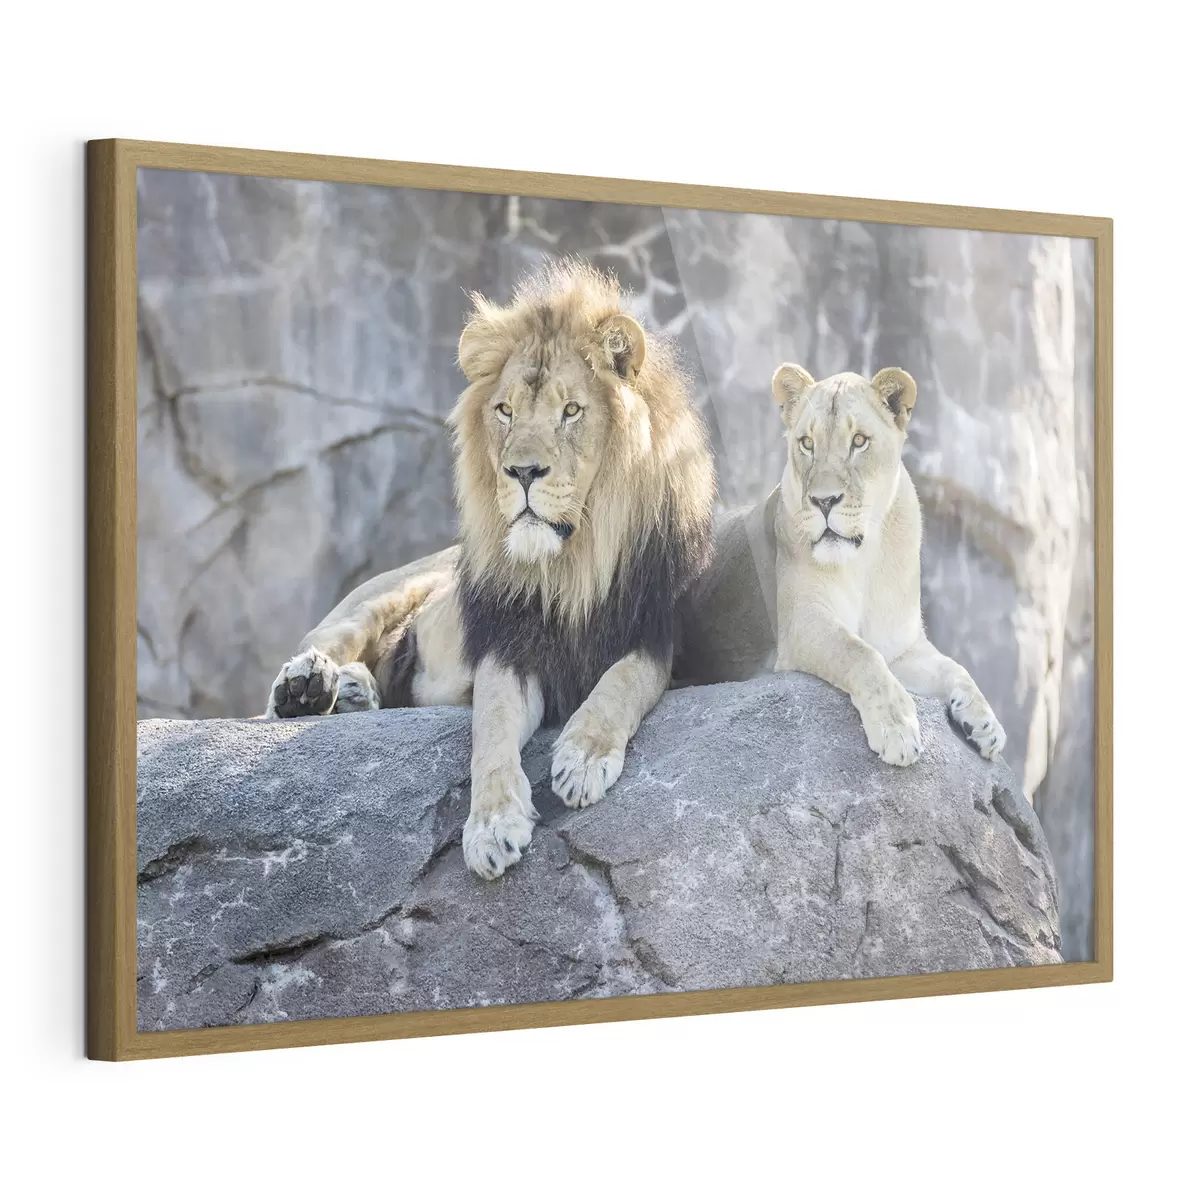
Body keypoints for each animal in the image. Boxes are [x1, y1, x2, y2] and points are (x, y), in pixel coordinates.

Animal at [266, 261, 716, 880]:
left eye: (571, 411)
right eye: (505, 411)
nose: (521, 471)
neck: (569, 566)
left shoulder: (656, 635)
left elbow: (622, 682)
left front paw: (582, 757)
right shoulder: (507, 646)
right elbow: (493, 727)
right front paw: (492, 825)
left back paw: (354, 692)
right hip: (387, 591)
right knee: (323, 648)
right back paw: (308, 685)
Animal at [762, 363, 1006, 766]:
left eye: (859, 441)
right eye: (807, 443)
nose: (823, 501)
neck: (863, 560)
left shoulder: (901, 645)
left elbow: (955, 667)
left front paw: (985, 723)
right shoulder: (801, 625)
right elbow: (859, 652)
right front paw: (897, 728)